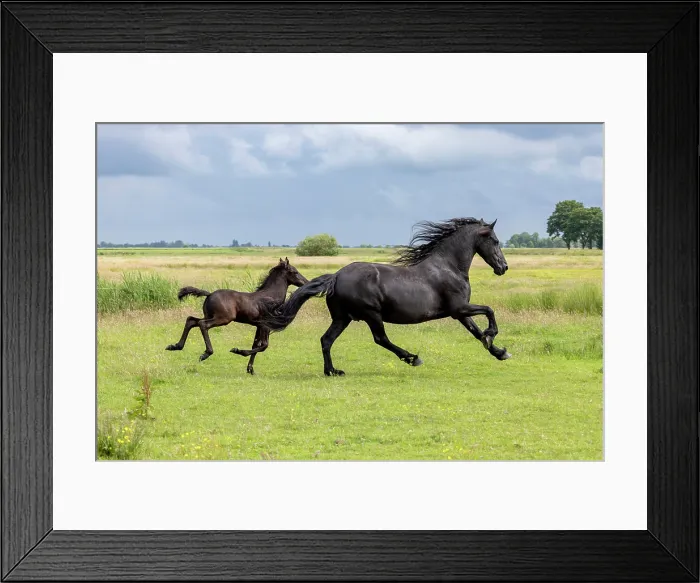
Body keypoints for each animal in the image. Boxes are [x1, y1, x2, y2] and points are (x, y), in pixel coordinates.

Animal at [165, 257, 308, 374]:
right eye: (295, 272)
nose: (305, 282)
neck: (271, 297)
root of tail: (209, 294)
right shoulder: (265, 325)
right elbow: (264, 346)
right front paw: (237, 351)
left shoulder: (258, 325)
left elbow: (256, 345)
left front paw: (250, 369)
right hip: (223, 319)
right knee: (202, 324)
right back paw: (206, 353)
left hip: (210, 315)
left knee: (191, 320)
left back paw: (175, 346)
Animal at [257, 218, 511, 376]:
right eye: (495, 241)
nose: (503, 267)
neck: (448, 267)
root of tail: (336, 276)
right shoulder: (459, 308)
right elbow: (489, 311)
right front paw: (492, 335)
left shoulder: (459, 312)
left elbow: (475, 331)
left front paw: (499, 352)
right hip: (371, 314)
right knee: (381, 339)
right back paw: (412, 357)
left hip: (342, 318)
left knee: (326, 340)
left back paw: (332, 371)